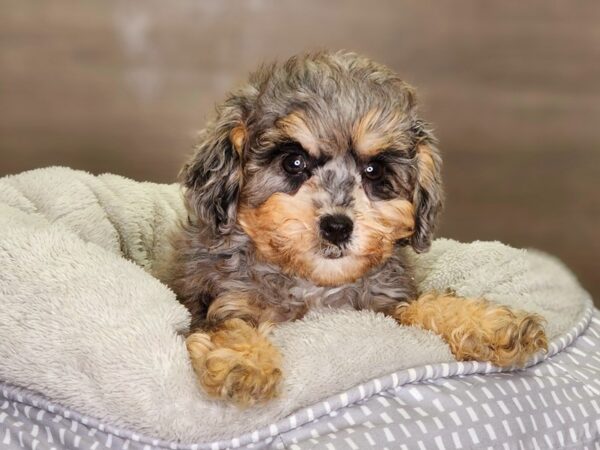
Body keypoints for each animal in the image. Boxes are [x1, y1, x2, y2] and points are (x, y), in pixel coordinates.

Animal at [165, 51, 548, 406]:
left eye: (374, 171)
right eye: (294, 162)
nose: (337, 227)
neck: (315, 284)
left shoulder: (386, 304)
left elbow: (423, 304)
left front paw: (490, 324)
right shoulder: (220, 300)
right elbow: (229, 325)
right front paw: (243, 362)